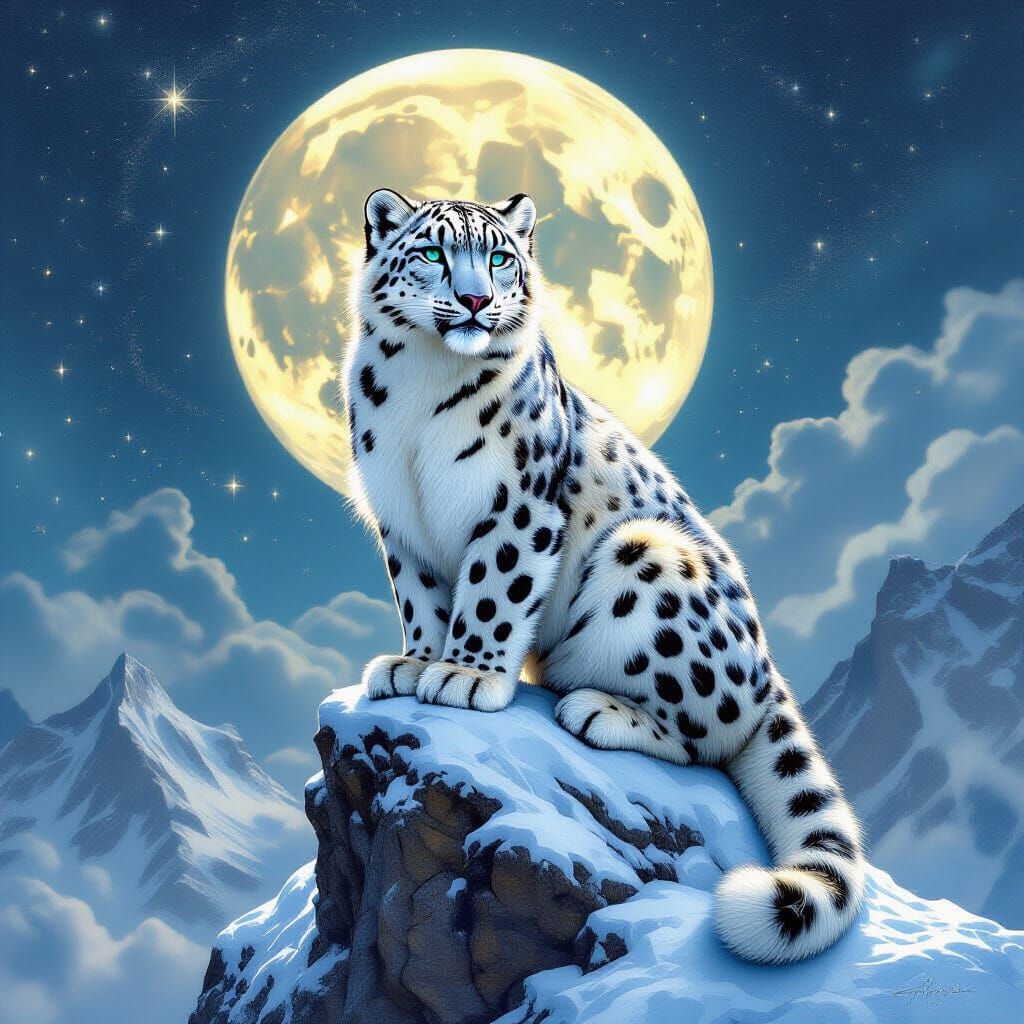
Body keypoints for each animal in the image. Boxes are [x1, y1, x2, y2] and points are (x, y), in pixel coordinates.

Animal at [340, 188, 865, 964]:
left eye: (500, 257)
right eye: (432, 252)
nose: (475, 299)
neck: (419, 386)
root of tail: (768, 668)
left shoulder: (518, 503)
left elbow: (491, 592)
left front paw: (465, 676)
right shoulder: (402, 524)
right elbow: (423, 601)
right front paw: (416, 663)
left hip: (651, 559)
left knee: (706, 735)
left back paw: (599, 710)